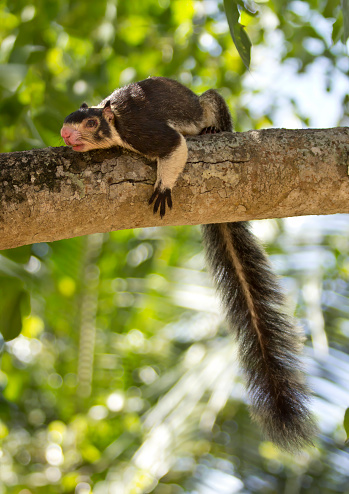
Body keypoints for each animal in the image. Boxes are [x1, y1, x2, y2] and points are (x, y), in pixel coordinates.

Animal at [60, 75, 316, 450]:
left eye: (92, 124)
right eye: (66, 121)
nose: (66, 135)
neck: (115, 121)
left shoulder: (143, 130)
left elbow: (174, 146)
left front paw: (164, 184)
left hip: (208, 105)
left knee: (210, 106)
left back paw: (211, 129)